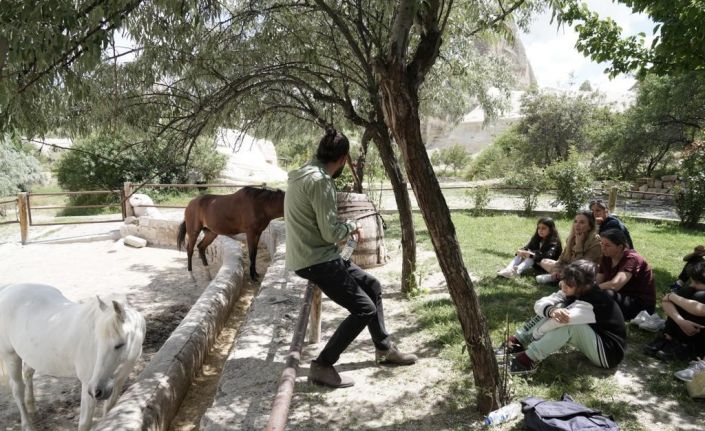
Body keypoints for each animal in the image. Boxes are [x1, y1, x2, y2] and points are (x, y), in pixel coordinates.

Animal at [0, 284, 146, 431]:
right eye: (97, 342)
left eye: (120, 344)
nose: (96, 390)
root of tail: (8, 288)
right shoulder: (87, 385)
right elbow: (85, 424)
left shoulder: (119, 380)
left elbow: (109, 410)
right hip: (10, 355)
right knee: (17, 389)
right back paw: (27, 425)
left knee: (28, 373)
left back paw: (32, 409)